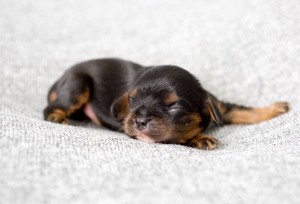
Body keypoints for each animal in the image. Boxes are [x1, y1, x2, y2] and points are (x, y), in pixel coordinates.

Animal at [43, 57, 290, 150]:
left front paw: (275, 108)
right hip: (78, 83)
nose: (140, 121)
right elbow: (179, 136)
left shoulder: (220, 106)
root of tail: (59, 79)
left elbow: (242, 110)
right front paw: (201, 138)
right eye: (132, 100)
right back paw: (57, 116)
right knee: (50, 108)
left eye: (174, 106)